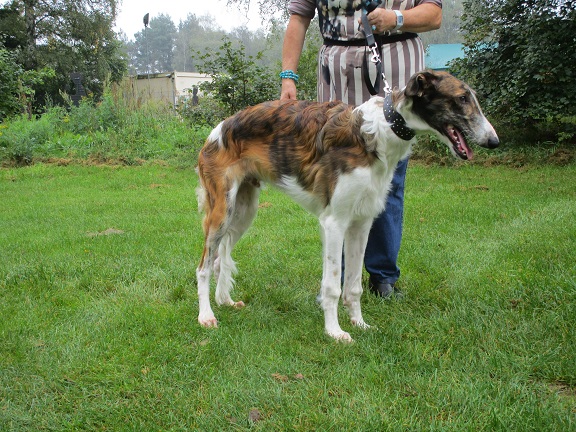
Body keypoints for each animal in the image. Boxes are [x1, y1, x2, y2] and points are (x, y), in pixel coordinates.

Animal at [195, 71, 500, 340]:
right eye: (461, 98)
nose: (494, 141)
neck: (379, 130)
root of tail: (218, 129)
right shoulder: (335, 222)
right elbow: (332, 285)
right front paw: (335, 332)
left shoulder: (362, 222)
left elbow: (353, 285)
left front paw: (360, 324)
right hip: (221, 213)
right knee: (204, 266)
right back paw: (206, 316)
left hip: (244, 211)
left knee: (220, 260)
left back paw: (224, 300)